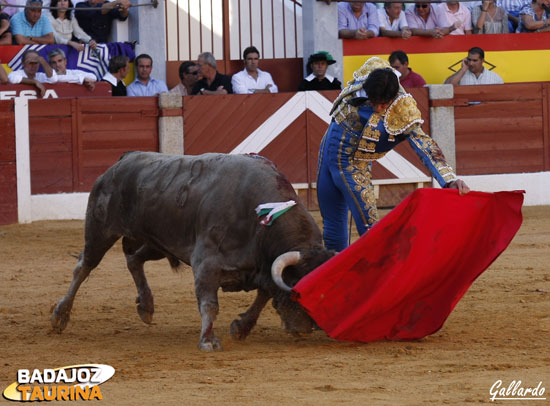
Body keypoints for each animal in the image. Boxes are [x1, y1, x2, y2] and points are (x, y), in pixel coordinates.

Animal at [51, 151, 334, 350]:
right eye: (296, 288)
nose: (306, 328)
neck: (260, 214)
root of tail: (123, 160)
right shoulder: (207, 263)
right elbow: (210, 303)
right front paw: (208, 340)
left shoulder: (261, 267)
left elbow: (263, 295)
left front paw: (241, 327)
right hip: (100, 230)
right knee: (84, 267)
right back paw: (59, 317)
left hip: (157, 242)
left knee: (134, 259)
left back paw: (146, 307)